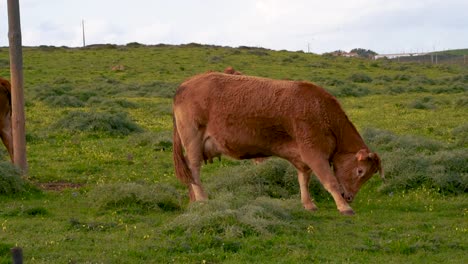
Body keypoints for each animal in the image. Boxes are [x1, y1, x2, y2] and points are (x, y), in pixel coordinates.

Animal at [174, 71, 382, 214]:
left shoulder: (302, 156)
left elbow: (304, 180)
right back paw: (202, 200)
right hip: (193, 140)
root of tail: (185, 85)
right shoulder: (314, 154)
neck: (321, 111)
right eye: (360, 171)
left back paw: (193, 201)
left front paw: (308, 204)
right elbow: (330, 181)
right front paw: (344, 207)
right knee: (194, 169)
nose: (350, 197)